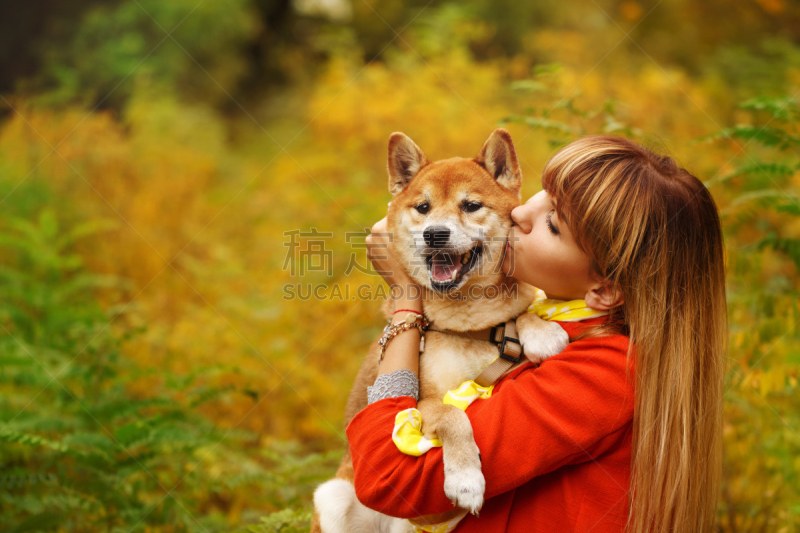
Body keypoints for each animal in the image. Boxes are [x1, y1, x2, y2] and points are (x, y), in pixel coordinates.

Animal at [310, 129, 568, 532]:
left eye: (471, 205)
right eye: (423, 208)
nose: (435, 234)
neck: (469, 323)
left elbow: (521, 311)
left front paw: (541, 332)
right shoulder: (419, 406)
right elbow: (452, 416)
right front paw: (465, 478)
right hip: (333, 496)